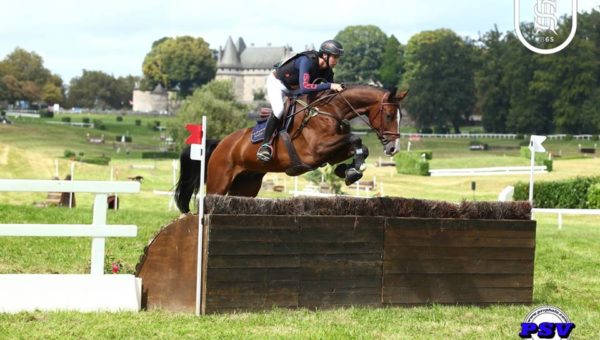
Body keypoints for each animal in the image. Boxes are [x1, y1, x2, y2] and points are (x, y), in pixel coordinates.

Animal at [173, 85, 408, 212]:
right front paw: (351, 172)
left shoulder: (330, 153)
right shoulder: (317, 150)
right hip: (219, 181)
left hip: (247, 185)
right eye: (389, 115)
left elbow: (359, 147)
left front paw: (349, 171)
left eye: (399, 116)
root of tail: (221, 143)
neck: (330, 110)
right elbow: (355, 139)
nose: (393, 148)